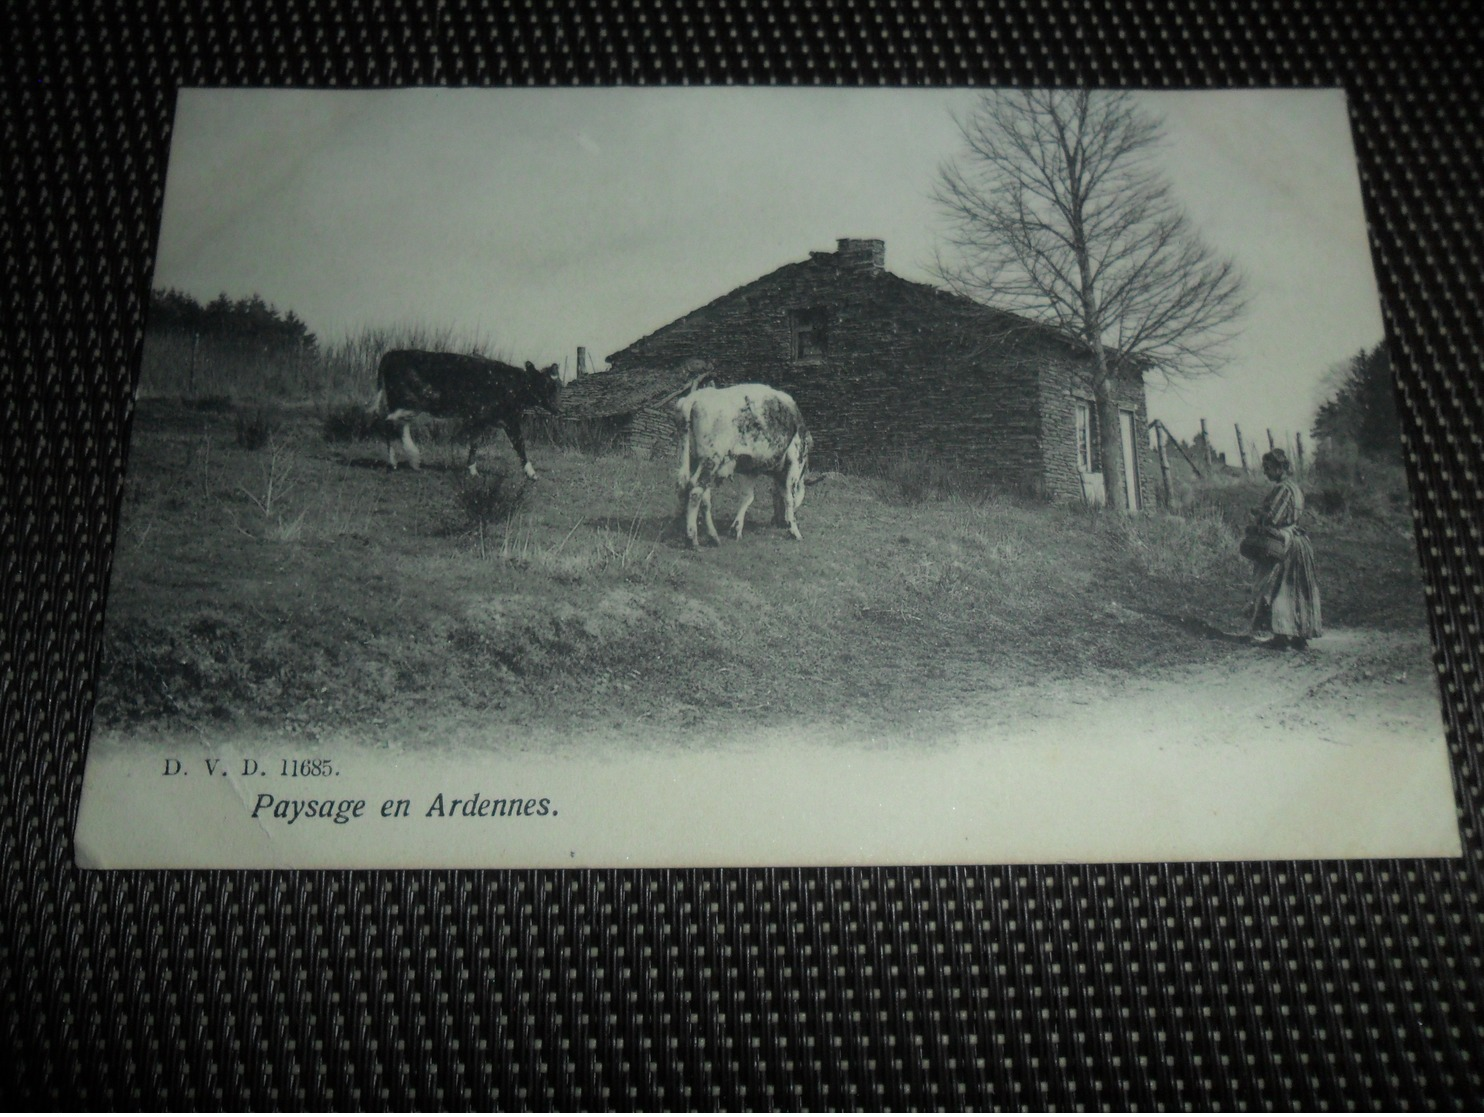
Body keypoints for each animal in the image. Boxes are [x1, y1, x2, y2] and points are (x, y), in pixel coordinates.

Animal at [371, 348, 560, 480]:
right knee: (387, 423)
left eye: (557, 385)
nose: (558, 409)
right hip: (408, 403)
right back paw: (394, 462)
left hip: (406, 406)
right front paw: (532, 474)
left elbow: (474, 443)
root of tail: (394, 353)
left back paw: (413, 461)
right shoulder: (508, 420)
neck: (511, 384)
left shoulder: (481, 419)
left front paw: (472, 470)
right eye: (544, 385)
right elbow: (519, 444)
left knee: (399, 427)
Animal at [673, 382, 813, 545]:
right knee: (695, 491)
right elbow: (789, 497)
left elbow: (747, 497)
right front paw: (794, 531)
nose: (778, 522)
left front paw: (736, 528)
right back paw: (693, 539)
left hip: (695, 460)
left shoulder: (750, 470)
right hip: (711, 459)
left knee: (703, 496)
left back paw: (713, 536)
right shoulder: (795, 460)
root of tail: (694, 397)